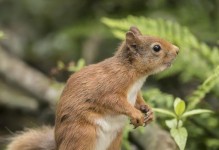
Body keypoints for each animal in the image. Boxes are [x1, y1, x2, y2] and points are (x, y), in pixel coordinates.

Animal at [6, 26, 179, 150]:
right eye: (156, 48)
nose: (177, 50)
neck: (136, 76)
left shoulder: (135, 93)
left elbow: (138, 99)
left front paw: (148, 111)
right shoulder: (109, 86)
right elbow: (115, 101)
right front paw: (136, 113)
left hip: (114, 140)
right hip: (83, 135)